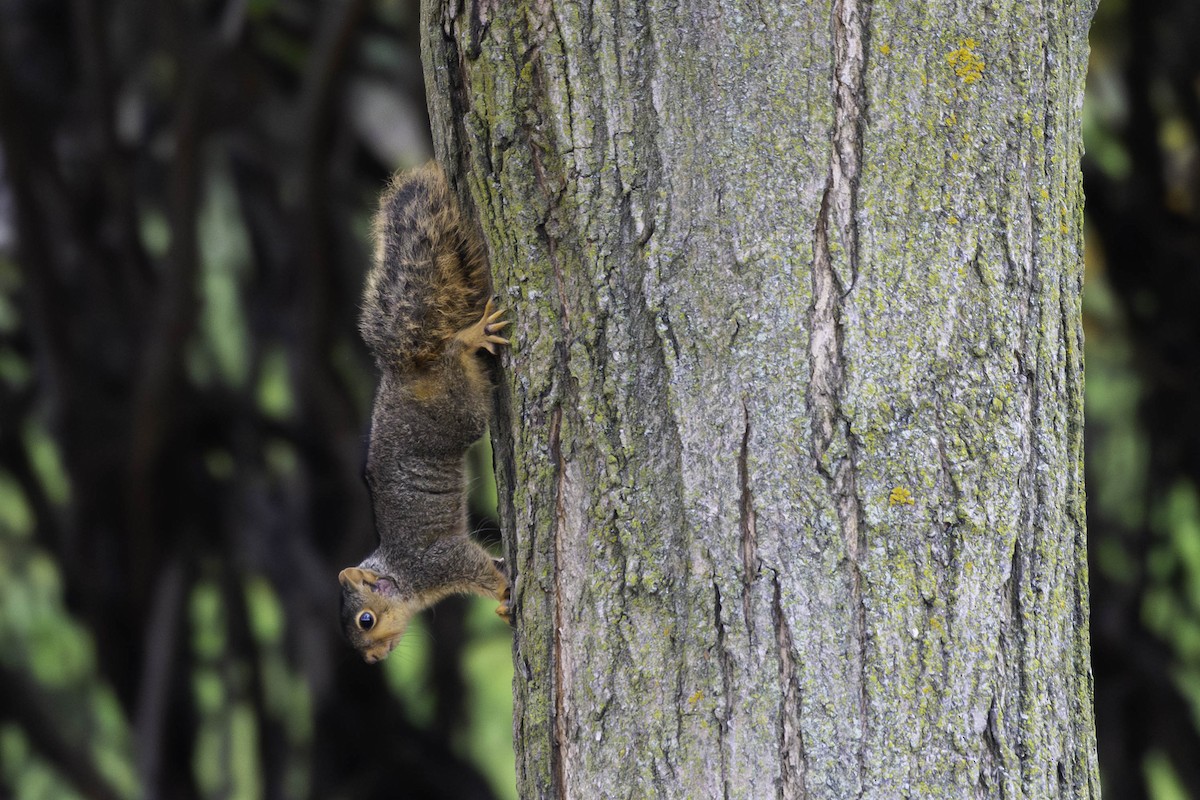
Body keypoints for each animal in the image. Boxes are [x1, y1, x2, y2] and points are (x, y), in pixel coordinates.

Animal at [339, 162, 511, 664]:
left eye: (366, 620)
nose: (373, 660)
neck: (401, 577)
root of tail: (405, 369)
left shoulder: (439, 562)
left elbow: (478, 568)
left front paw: (503, 592)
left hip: (457, 411)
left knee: (454, 351)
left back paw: (472, 336)